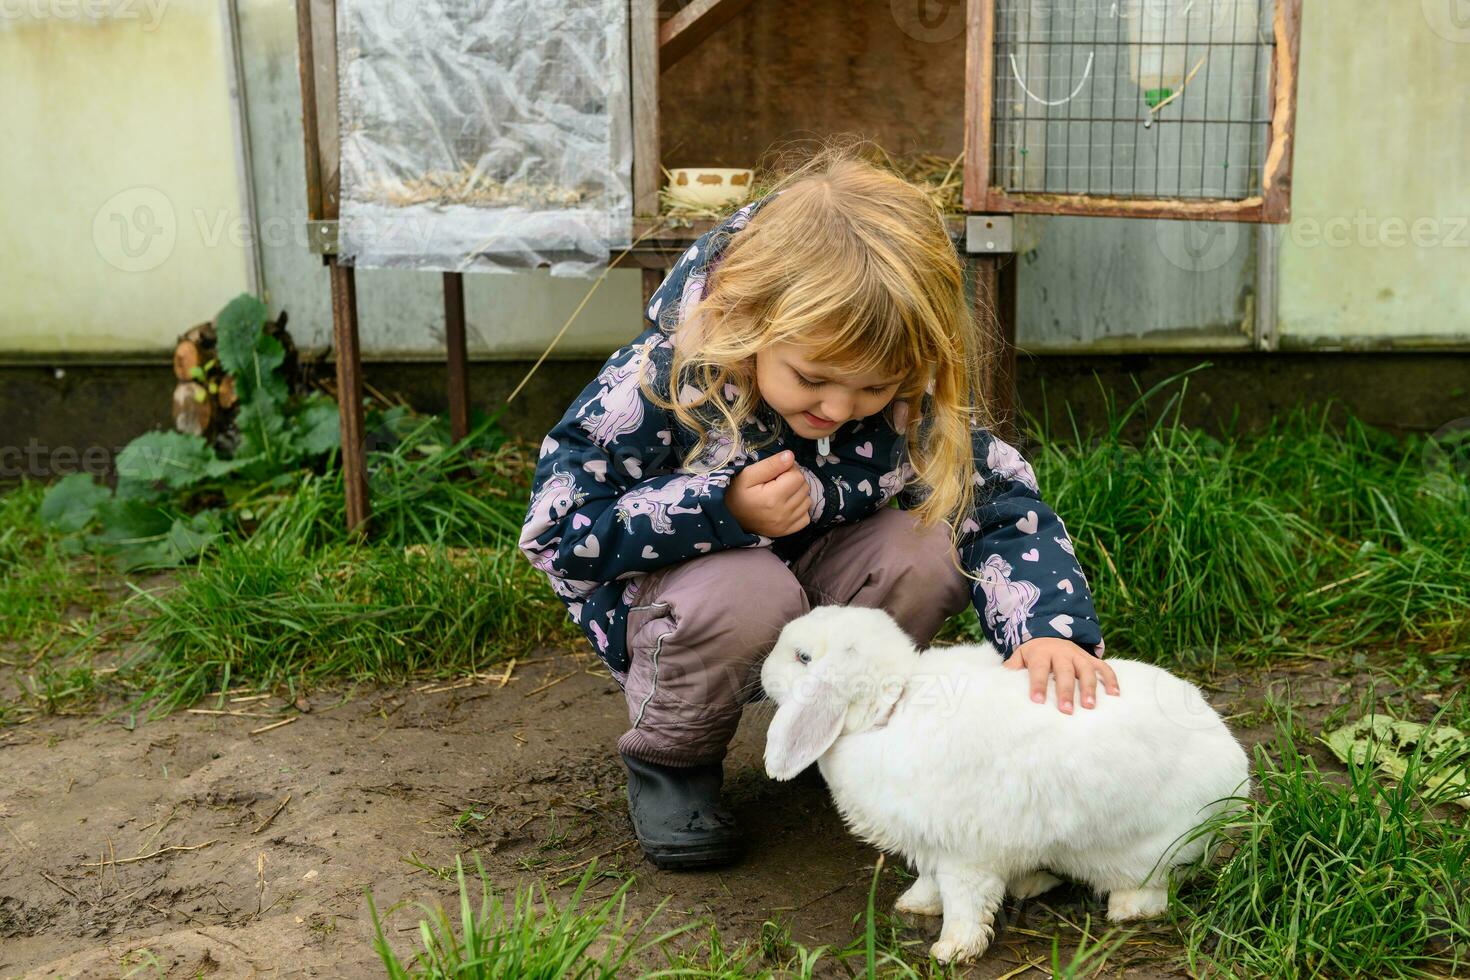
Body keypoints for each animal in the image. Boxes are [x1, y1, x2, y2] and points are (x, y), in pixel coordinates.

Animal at [758, 605, 1252, 963]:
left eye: (802, 658)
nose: (762, 669)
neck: (889, 709)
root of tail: (1238, 781)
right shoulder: (932, 847)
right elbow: (931, 883)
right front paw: (914, 905)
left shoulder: (964, 856)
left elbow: (964, 902)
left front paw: (951, 950)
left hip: (1151, 850)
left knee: (1154, 889)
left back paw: (1125, 908)